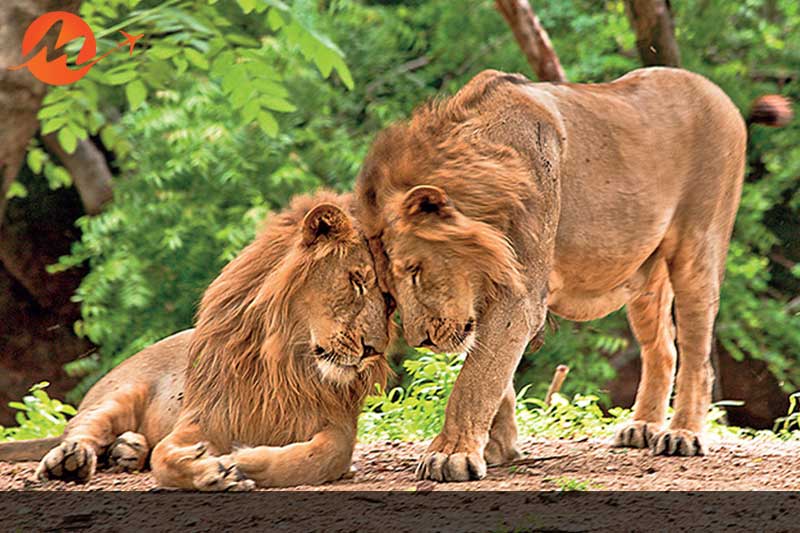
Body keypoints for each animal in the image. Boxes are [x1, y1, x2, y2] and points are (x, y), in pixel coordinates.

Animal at [0, 191, 390, 490]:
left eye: (388, 300)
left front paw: (245, 458)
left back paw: (127, 450)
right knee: (78, 430)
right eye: (356, 281)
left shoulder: (338, 426)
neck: (285, 360)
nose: (373, 349)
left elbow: (321, 457)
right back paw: (70, 461)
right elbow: (165, 458)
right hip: (117, 393)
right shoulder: (203, 419)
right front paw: (217, 470)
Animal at [355, 67, 789, 482]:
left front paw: (451, 455)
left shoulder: (522, 296)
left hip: (698, 248)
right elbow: (495, 376)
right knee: (663, 349)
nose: (421, 340)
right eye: (388, 289)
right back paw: (642, 427)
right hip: (643, 275)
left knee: (698, 354)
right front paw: (499, 448)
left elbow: (475, 380)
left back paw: (682, 434)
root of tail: (716, 93)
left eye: (414, 269)